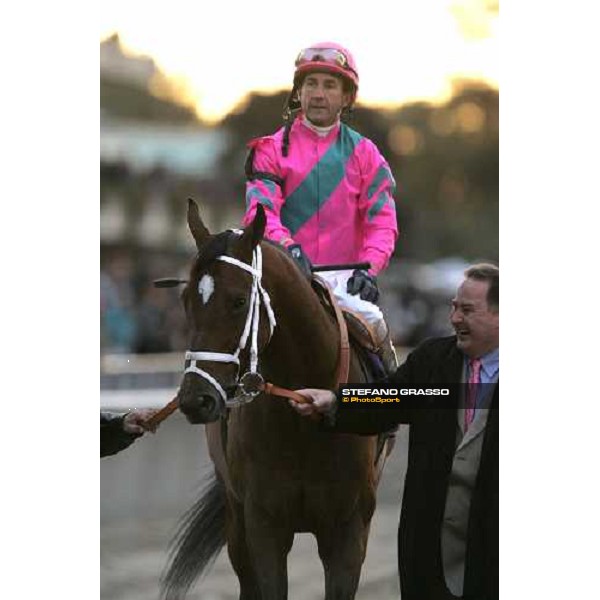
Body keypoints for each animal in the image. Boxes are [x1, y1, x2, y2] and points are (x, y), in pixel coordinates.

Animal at [163, 199, 390, 596]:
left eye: (239, 301)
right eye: (186, 298)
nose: (196, 399)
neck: (304, 423)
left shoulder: (348, 530)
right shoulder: (263, 525)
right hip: (235, 519)